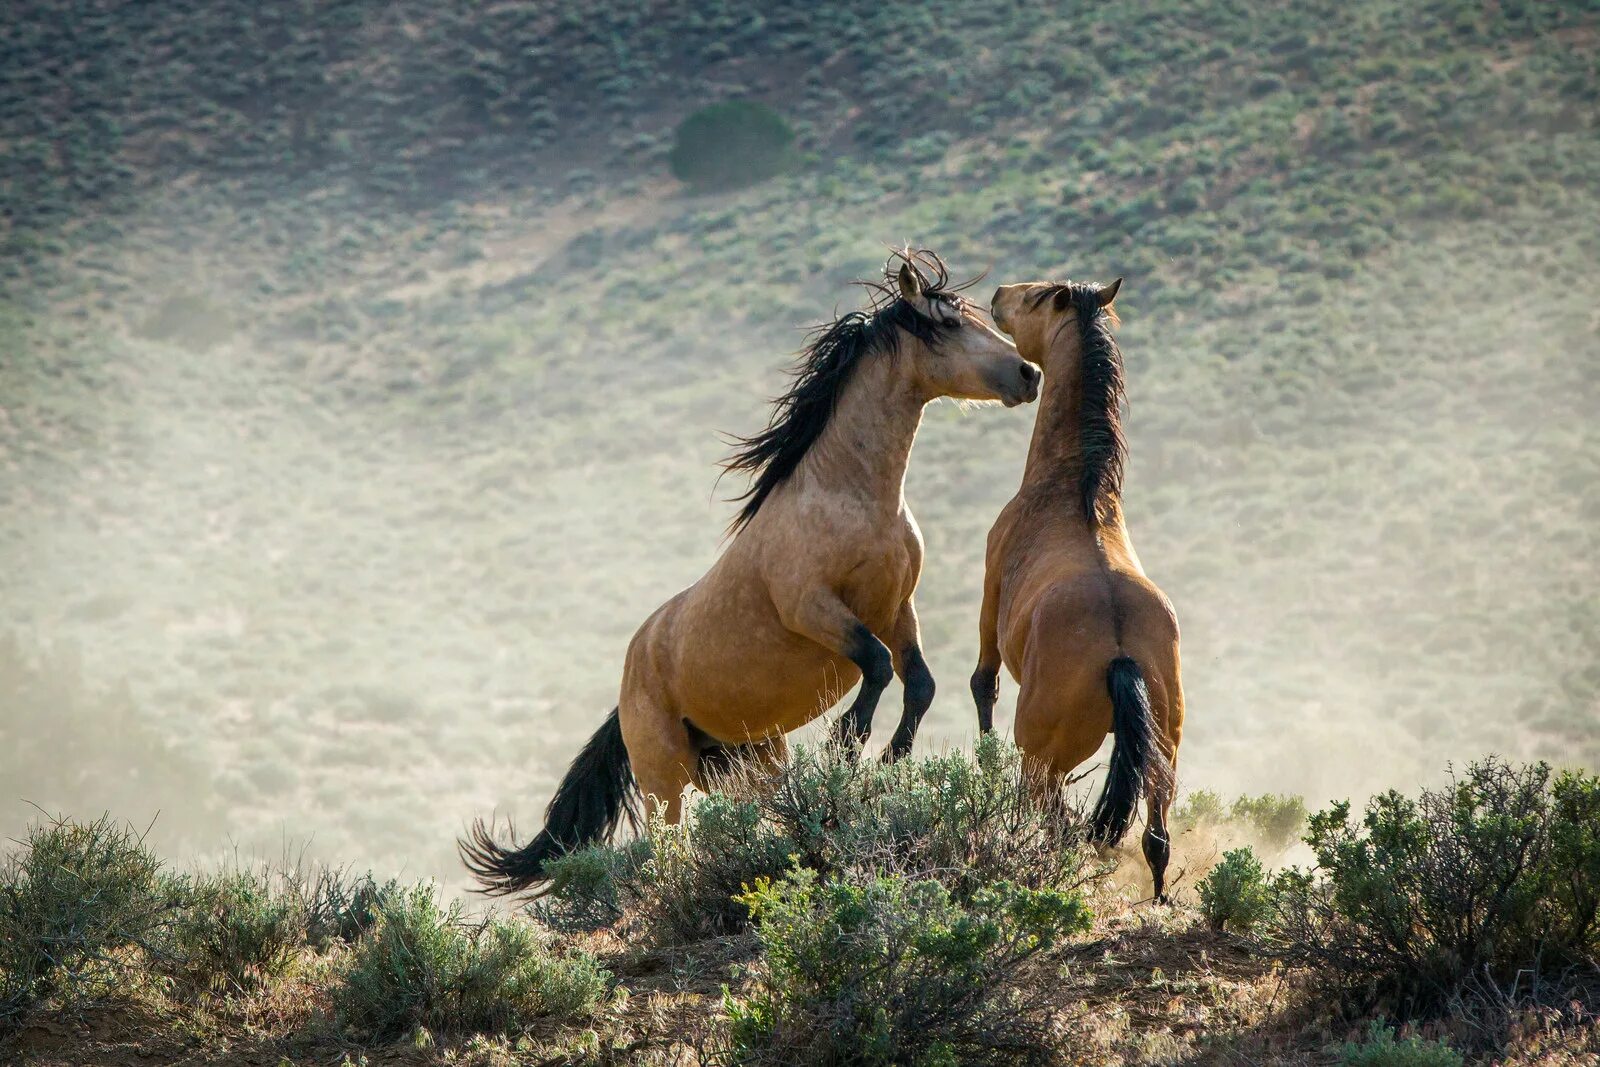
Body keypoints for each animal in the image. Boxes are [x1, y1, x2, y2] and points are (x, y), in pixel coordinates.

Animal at [460, 247, 1036, 895]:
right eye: (950, 323)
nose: (1028, 374)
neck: (853, 497)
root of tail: (629, 678)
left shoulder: (896, 609)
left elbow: (918, 683)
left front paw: (887, 761)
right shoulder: (814, 608)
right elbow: (877, 667)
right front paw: (846, 747)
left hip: (746, 762)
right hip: (663, 780)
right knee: (667, 848)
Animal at [966, 275, 1184, 902]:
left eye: (1038, 297)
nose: (999, 294)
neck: (1073, 491)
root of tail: (1120, 652)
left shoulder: (990, 593)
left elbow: (983, 683)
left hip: (1042, 755)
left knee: (1048, 814)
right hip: (1165, 754)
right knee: (1155, 837)